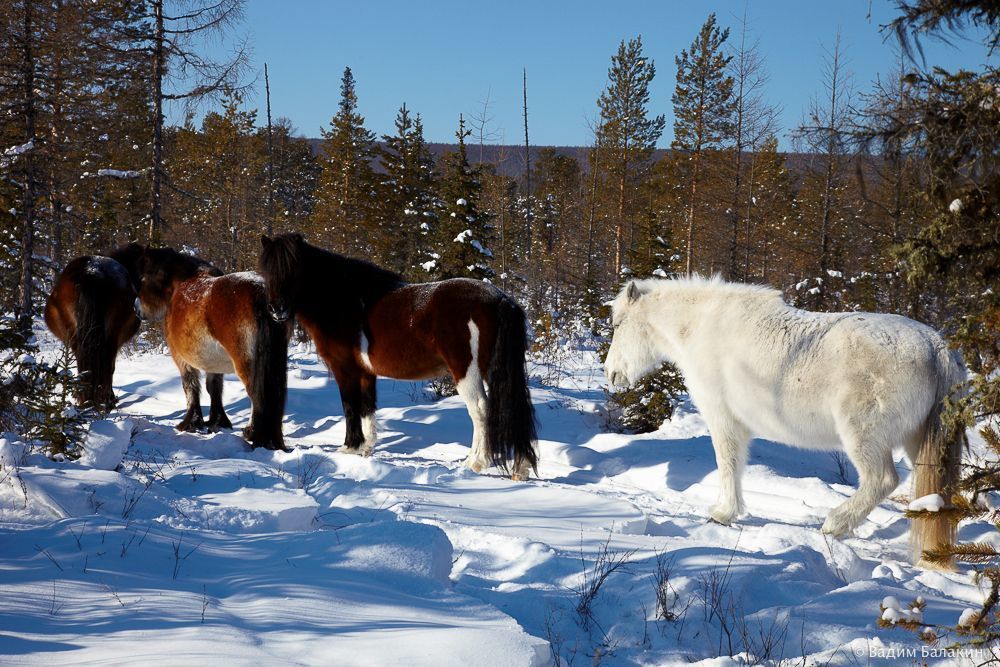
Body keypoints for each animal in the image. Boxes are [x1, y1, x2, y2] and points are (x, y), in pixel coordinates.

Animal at [44, 243, 145, 412]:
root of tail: (90, 273)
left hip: (76, 338)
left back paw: (86, 400)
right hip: (110, 338)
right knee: (106, 367)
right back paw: (105, 401)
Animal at [134, 246, 289, 451]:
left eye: (143, 279)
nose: (136, 309)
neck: (179, 284)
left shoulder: (182, 361)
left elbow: (191, 388)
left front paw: (190, 423)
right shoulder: (213, 364)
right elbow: (214, 389)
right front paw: (217, 422)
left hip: (248, 365)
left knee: (257, 396)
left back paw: (253, 434)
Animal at [258, 232, 538, 479]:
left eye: (293, 270)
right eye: (266, 271)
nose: (277, 309)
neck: (343, 301)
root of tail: (499, 299)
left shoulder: (344, 368)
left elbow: (350, 406)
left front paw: (349, 447)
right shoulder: (365, 371)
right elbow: (367, 406)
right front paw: (366, 448)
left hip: (466, 371)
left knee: (480, 409)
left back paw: (476, 462)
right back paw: (520, 468)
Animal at [604, 276, 967, 569]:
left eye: (618, 324)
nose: (611, 374)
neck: (701, 326)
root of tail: (938, 349)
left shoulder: (723, 417)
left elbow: (727, 462)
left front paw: (722, 513)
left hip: (864, 434)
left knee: (882, 480)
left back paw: (834, 524)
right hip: (918, 441)